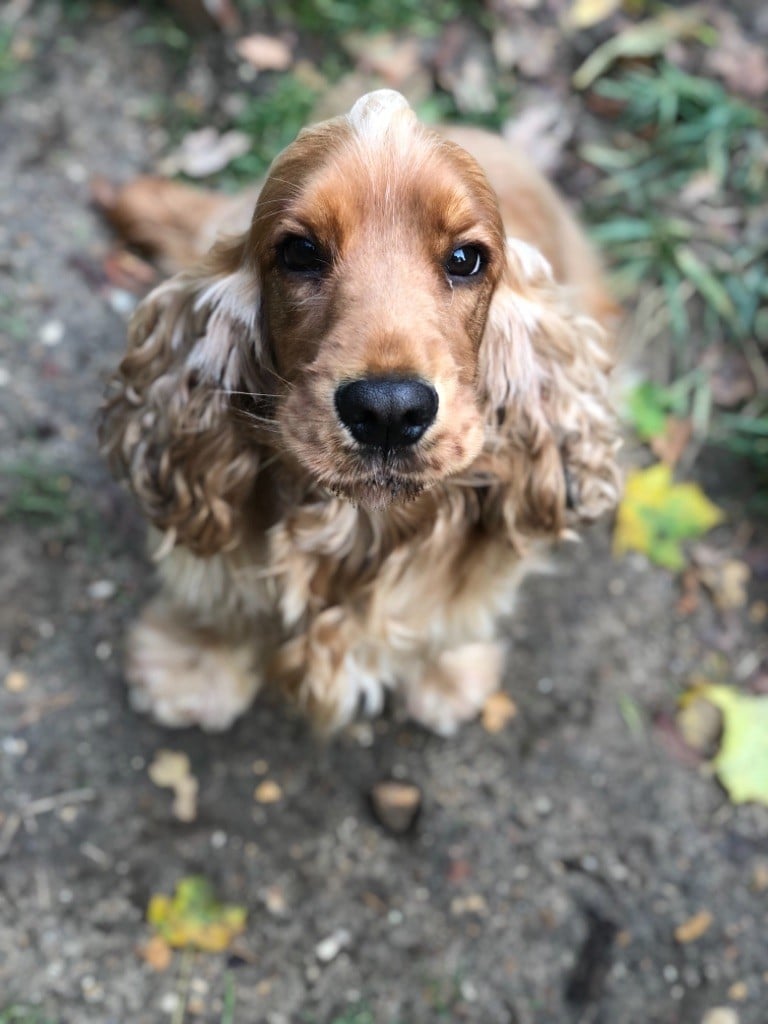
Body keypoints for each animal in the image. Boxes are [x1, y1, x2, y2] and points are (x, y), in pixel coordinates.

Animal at [100, 89, 621, 735]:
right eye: (300, 251)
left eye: (466, 259)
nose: (389, 411)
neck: (357, 524)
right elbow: (218, 602)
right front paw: (192, 668)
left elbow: (447, 623)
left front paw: (447, 678)